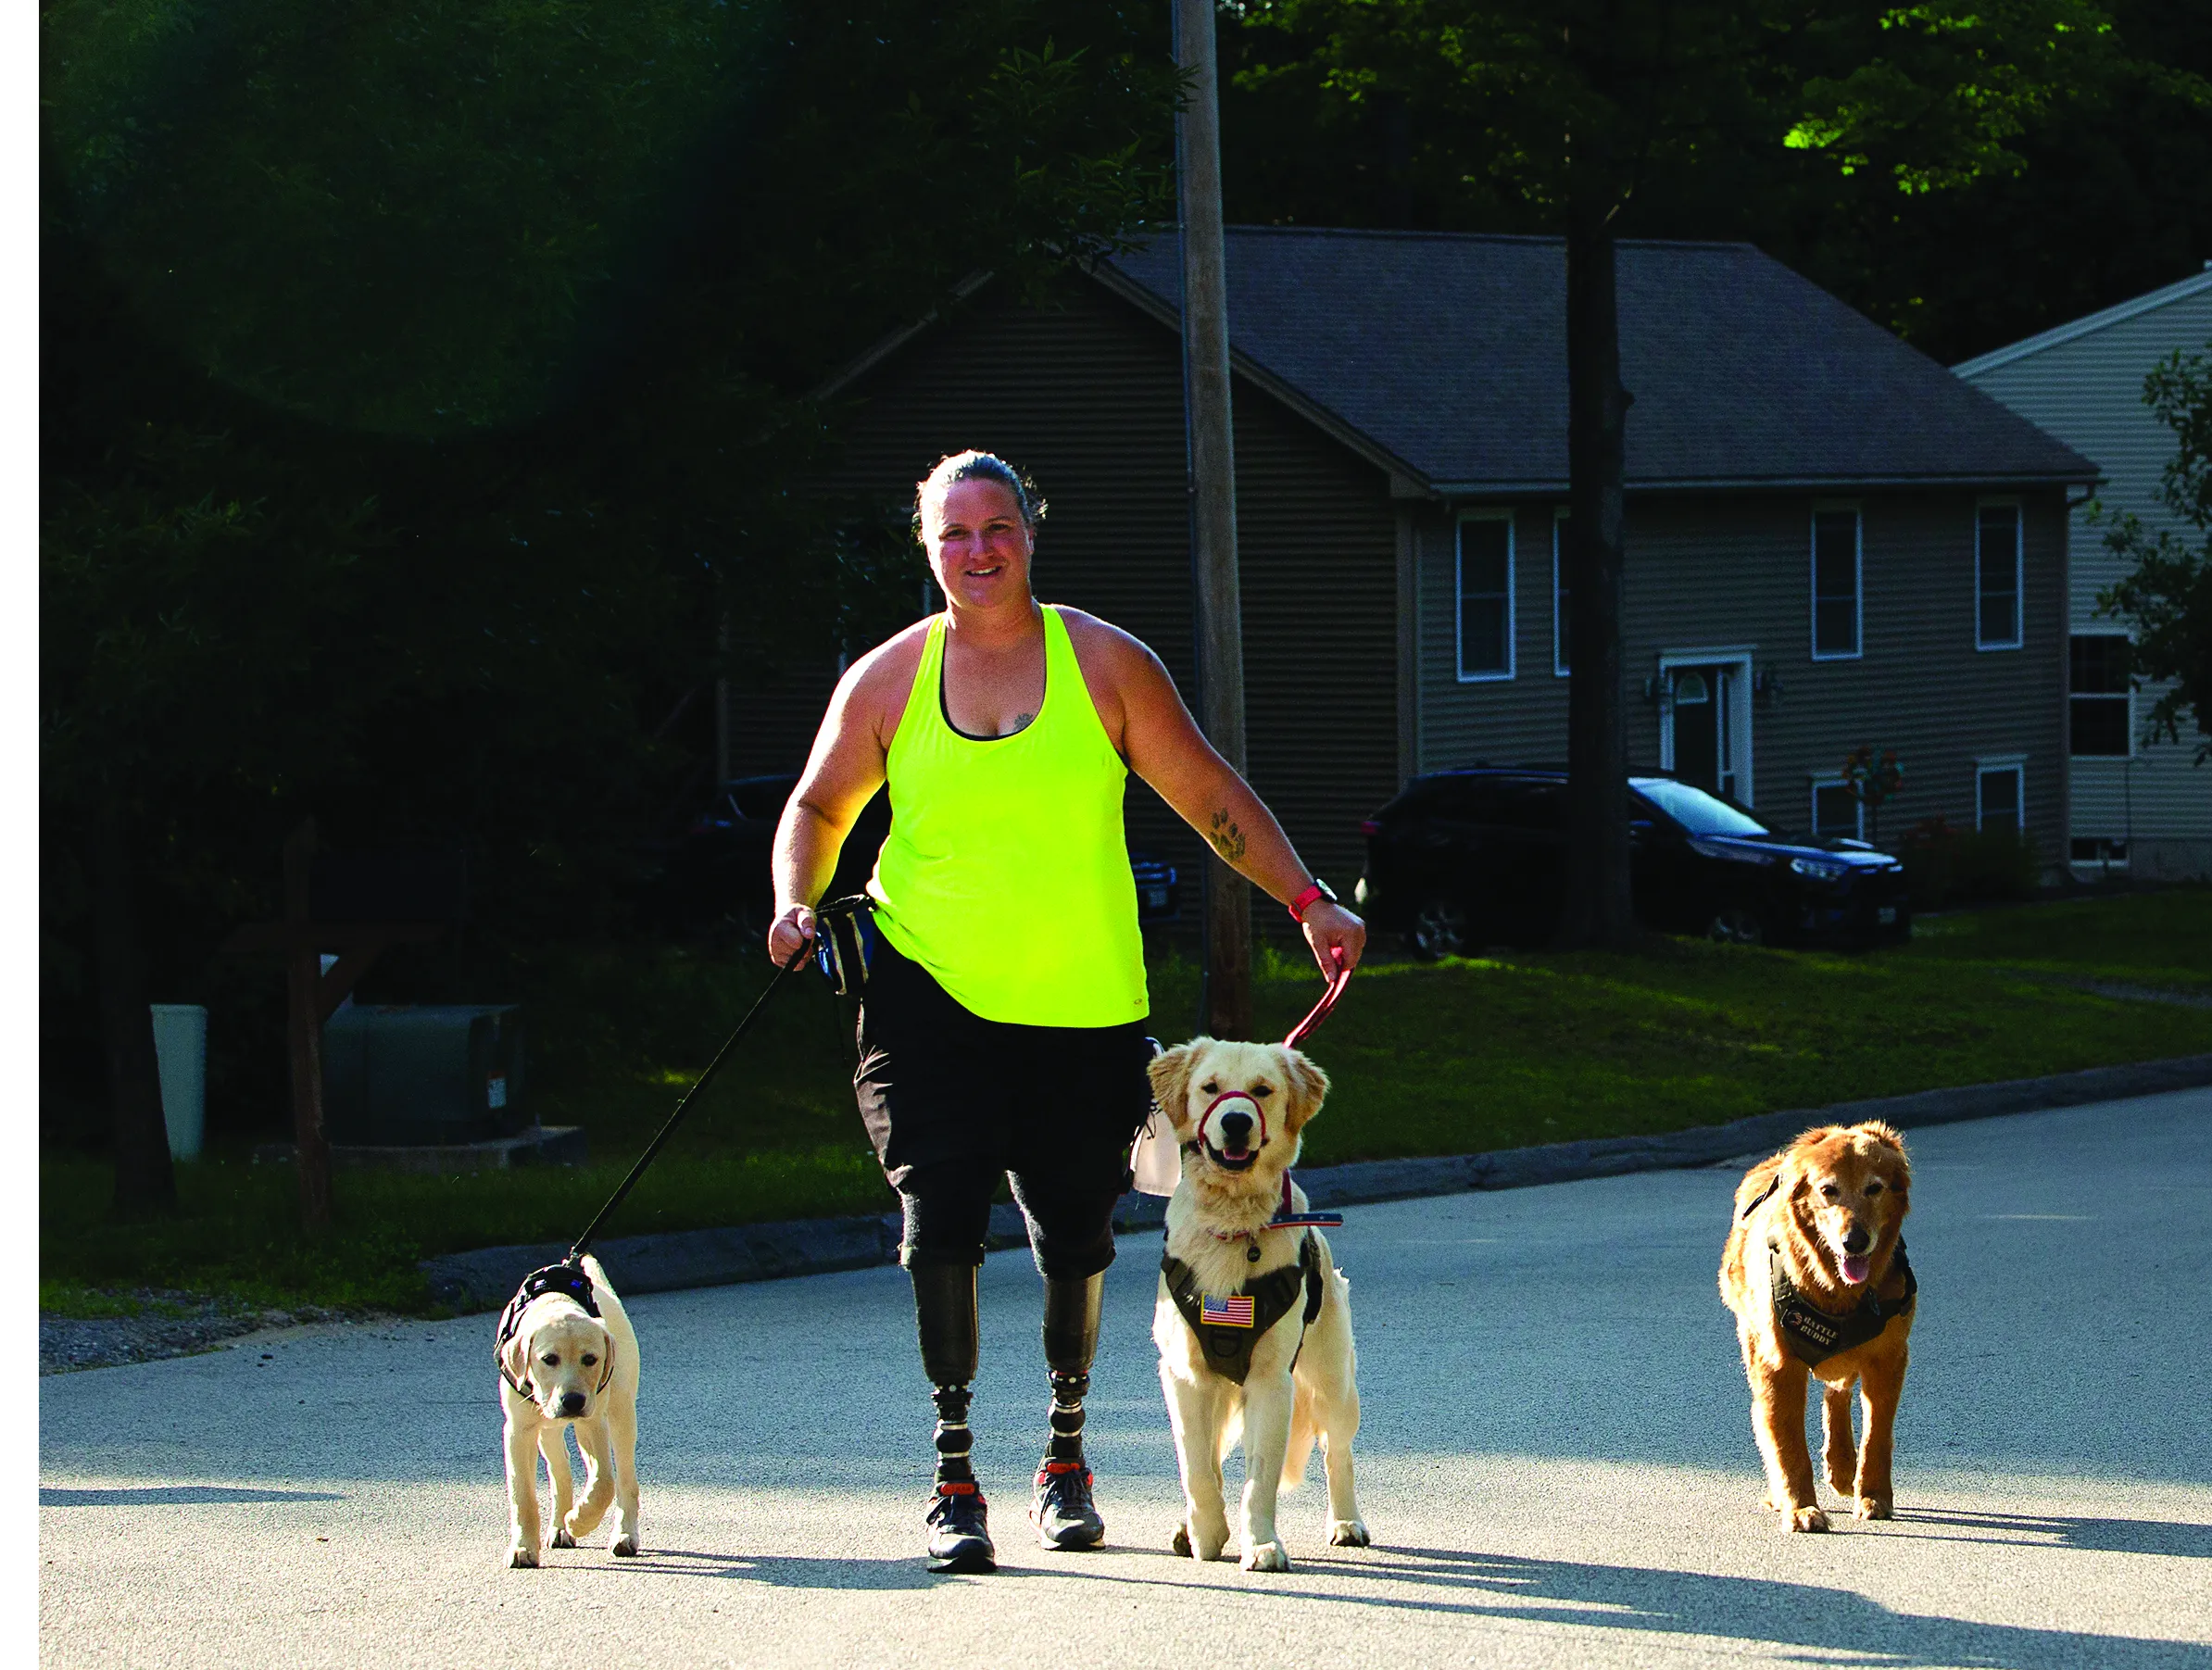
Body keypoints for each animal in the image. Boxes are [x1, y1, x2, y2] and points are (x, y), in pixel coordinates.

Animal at [497, 1256, 646, 1565]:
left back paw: (623, 1534)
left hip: (621, 1414)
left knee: (624, 1478)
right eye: (548, 1359)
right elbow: (522, 1495)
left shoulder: (593, 1423)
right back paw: (559, 1528)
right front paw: (523, 1547)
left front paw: (580, 1520)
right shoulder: (518, 1431)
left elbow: (604, 1482)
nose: (573, 1401)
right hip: (548, 1433)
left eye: (590, 1359)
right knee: (560, 1473)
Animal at [1150, 1039, 1353, 1575]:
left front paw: (1261, 1545)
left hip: (1333, 1384)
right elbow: (1197, 1470)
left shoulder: (1271, 1382)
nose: (1237, 1120)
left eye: (1262, 1090)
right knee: (1213, 1458)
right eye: (1210, 1087)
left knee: (1338, 1453)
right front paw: (1205, 1535)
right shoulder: (1184, 1377)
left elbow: (1259, 1480)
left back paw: (1348, 1522)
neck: (1234, 1222)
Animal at [1716, 1114, 1911, 1530]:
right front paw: (1800, 1506)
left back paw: (1842, 1466)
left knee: (1837, 1390)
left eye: (1874, 1188)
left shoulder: (1888, 1357)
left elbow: (1877, 1435)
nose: (1855, 1241)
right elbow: (1787, 1444)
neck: (1836, 1289)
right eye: (1828, 1190)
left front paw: (1873, 1495)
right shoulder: (1778, 1365)